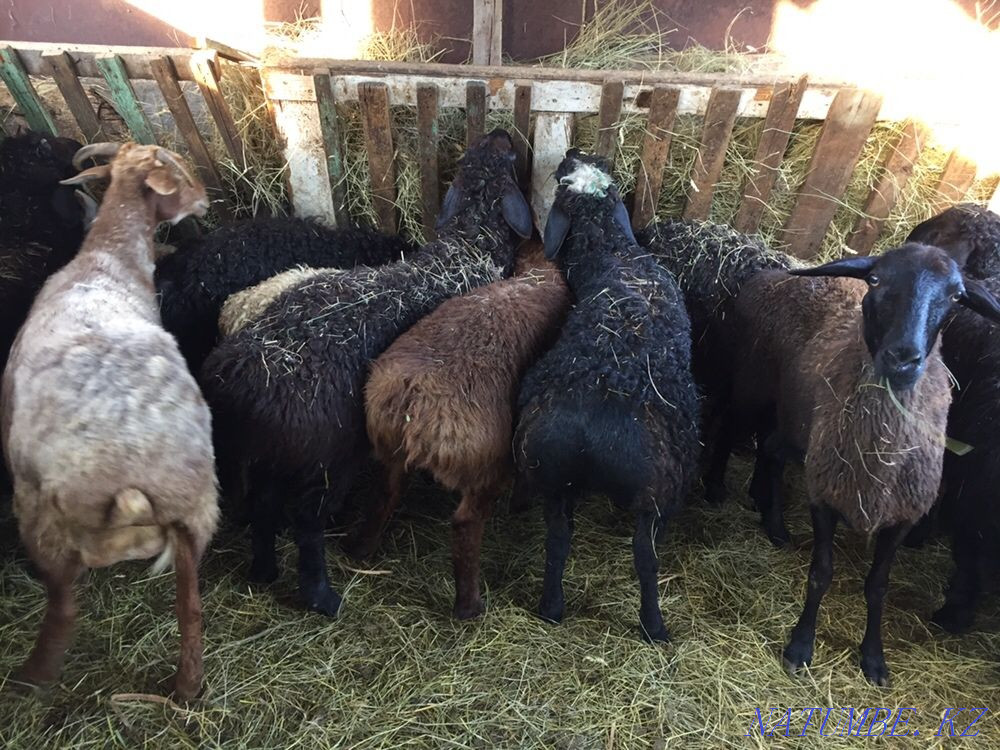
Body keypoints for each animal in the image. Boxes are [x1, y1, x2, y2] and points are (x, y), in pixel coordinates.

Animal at [1, 142, 219, 700]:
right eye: (178, 174)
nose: (205, 200)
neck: (107, 256)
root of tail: (125, 475)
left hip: (38, 511)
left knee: (65, 603)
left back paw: (33, 678)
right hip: (196, 508)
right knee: (188, 610)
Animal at [200, 129, 532, 616]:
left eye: (481, 155)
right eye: (508, 159)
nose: (501, 133)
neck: (465, 247)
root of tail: (241, 389)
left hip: (267, 458)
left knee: (262, 508)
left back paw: (263, 572)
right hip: (324, 459)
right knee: (306, 523)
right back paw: (323, 598)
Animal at [355, 237, 569, 619]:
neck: (538, 274)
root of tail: (416, 399)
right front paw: (521, 503)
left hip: (388, 449)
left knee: (383, 494)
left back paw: (363, 551)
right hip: (485, 465)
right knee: (466, 524)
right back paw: (469, 606)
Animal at [513, 151, 700, 642]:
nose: (572, 152)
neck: (615, 256)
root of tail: (590, 427)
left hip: (554, 477)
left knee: (558, 542)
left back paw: (551, 608)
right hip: (655, 490)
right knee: (646, 559)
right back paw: (654, 626)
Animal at [729, 243, 1000, 685]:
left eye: (957, 296)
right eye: (875, 280)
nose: (903, 359)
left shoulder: (902, 517)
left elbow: (878, 586)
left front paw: (873, 657)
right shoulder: (825, 494)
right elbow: (821, 574)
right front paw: (800, 646)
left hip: (797, 423)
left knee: (770, 449)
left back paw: (772, 520)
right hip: (764, 396)